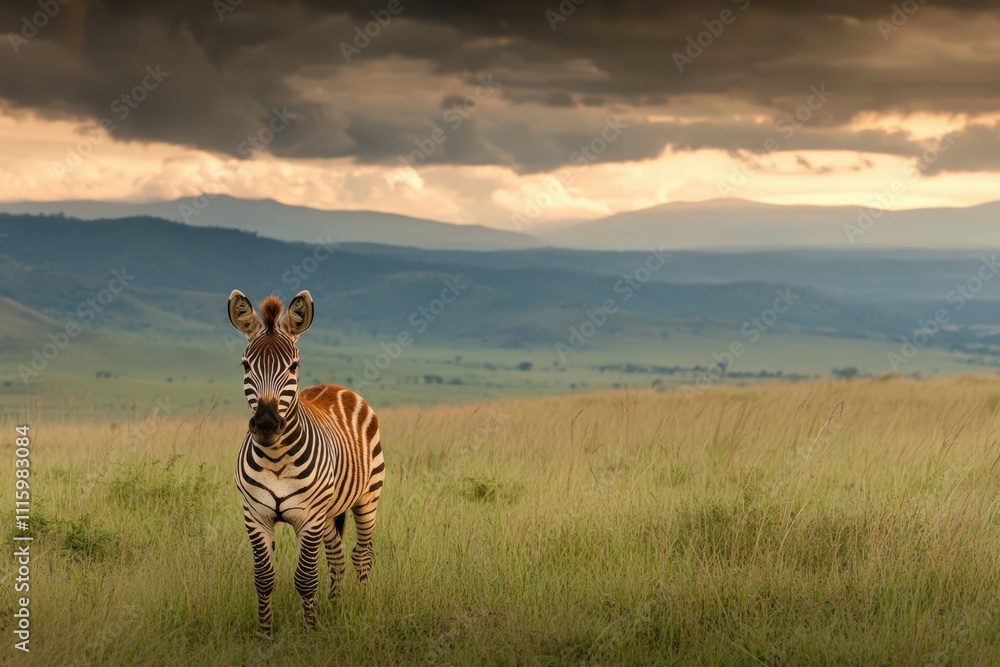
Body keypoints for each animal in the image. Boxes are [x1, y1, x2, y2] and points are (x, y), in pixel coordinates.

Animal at [227, 289, 385, 636]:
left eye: (293, 366)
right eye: (245, 365)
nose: (267, 425)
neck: (276, 458)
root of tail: (338, 387)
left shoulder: (308, 518)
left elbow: (305, 578)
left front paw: (309, 631)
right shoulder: (255, 516)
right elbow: (264, 578)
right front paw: (265, 633)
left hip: (368, 497)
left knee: (361, 554)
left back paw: (365, 604)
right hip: (328, 513)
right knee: (337, 556)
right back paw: (336, 607)